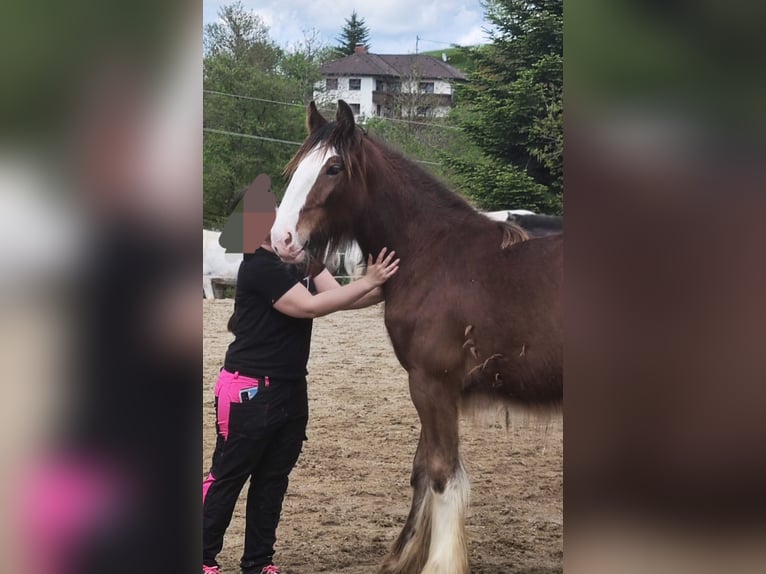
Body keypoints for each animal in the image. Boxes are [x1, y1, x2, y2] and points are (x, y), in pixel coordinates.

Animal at [270, 100, 563, 574]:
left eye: (333, 167)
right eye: (296, 168)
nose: (282, 240)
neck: (434, 255)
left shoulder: (432, 384)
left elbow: (442, 473)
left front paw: (439, 563)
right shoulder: (428, 386)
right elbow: (422, 469)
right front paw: (404, 555)